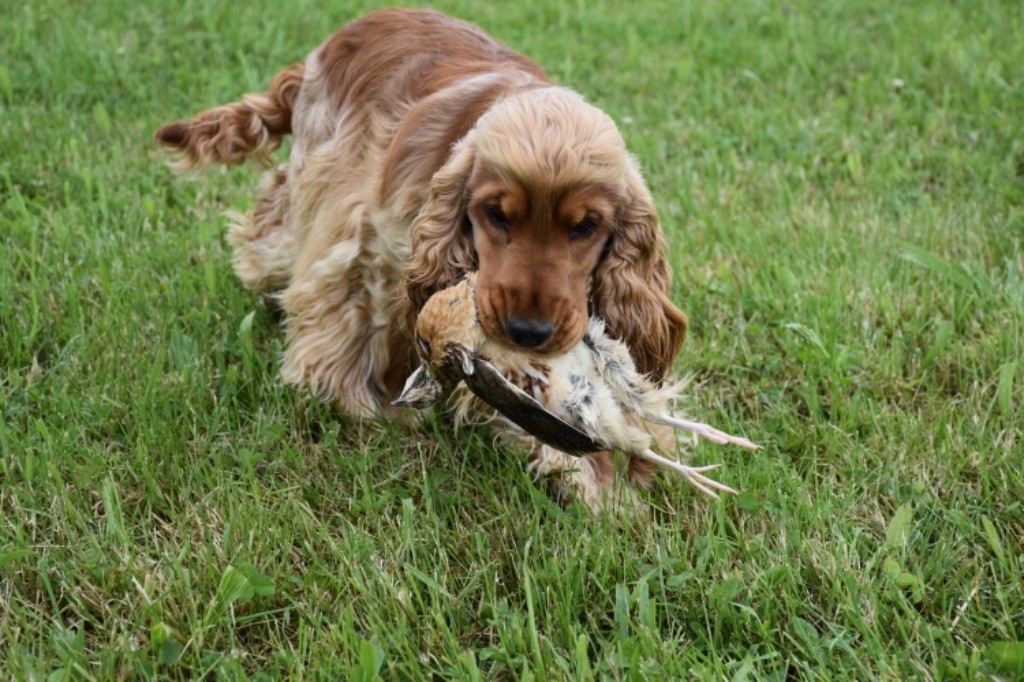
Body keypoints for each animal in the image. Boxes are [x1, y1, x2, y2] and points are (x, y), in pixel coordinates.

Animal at [153, 7, 688, 507]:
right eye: (496, 214)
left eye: (585, 226)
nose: (528, 333)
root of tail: (341, 35)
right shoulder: (372, 239)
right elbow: (361, 321)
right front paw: (362, 405)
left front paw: (606, 474)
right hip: (324, 157)